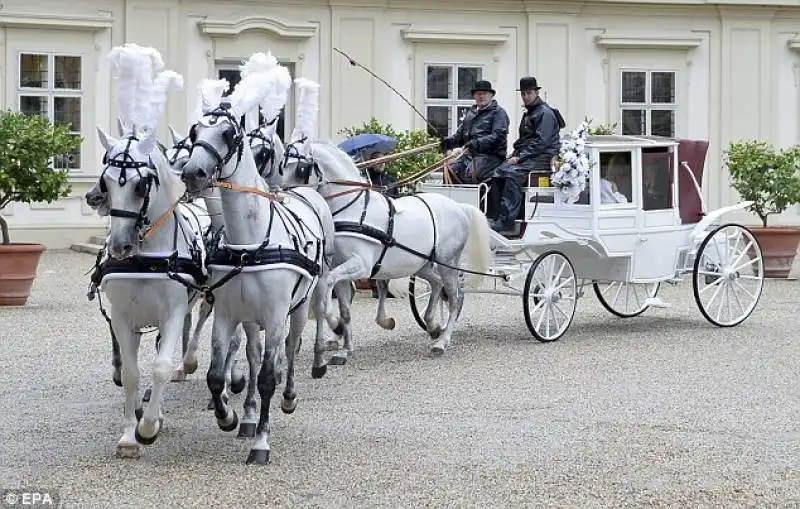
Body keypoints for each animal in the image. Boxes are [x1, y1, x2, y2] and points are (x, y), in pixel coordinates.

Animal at [178, 61, 334, 462]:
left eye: (229, 134)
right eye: (195, 131)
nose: (192, 173)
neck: (247, 240)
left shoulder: (276, 314)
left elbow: (265, 378)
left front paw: (261, 441)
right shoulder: (227, 313)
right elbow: (217, 374)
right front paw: (229, 417)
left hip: (300, 307)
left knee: (290, 348)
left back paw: (289, 395)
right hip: (251, 317)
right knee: (253, 353)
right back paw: (247, 415)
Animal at [282, 141, 494, 360]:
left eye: (299, 168)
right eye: (282, 163)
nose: (281, 195)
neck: (352, 207)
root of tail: (459, 207)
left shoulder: (362, 265)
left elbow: (328, 284)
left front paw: (335, 325)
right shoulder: (340, 266)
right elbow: (344, 306)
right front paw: (344, 348)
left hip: (449, 263)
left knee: (454, 299)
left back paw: (442, 342)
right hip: (422, 264)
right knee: (436, 283)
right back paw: (433, 325)